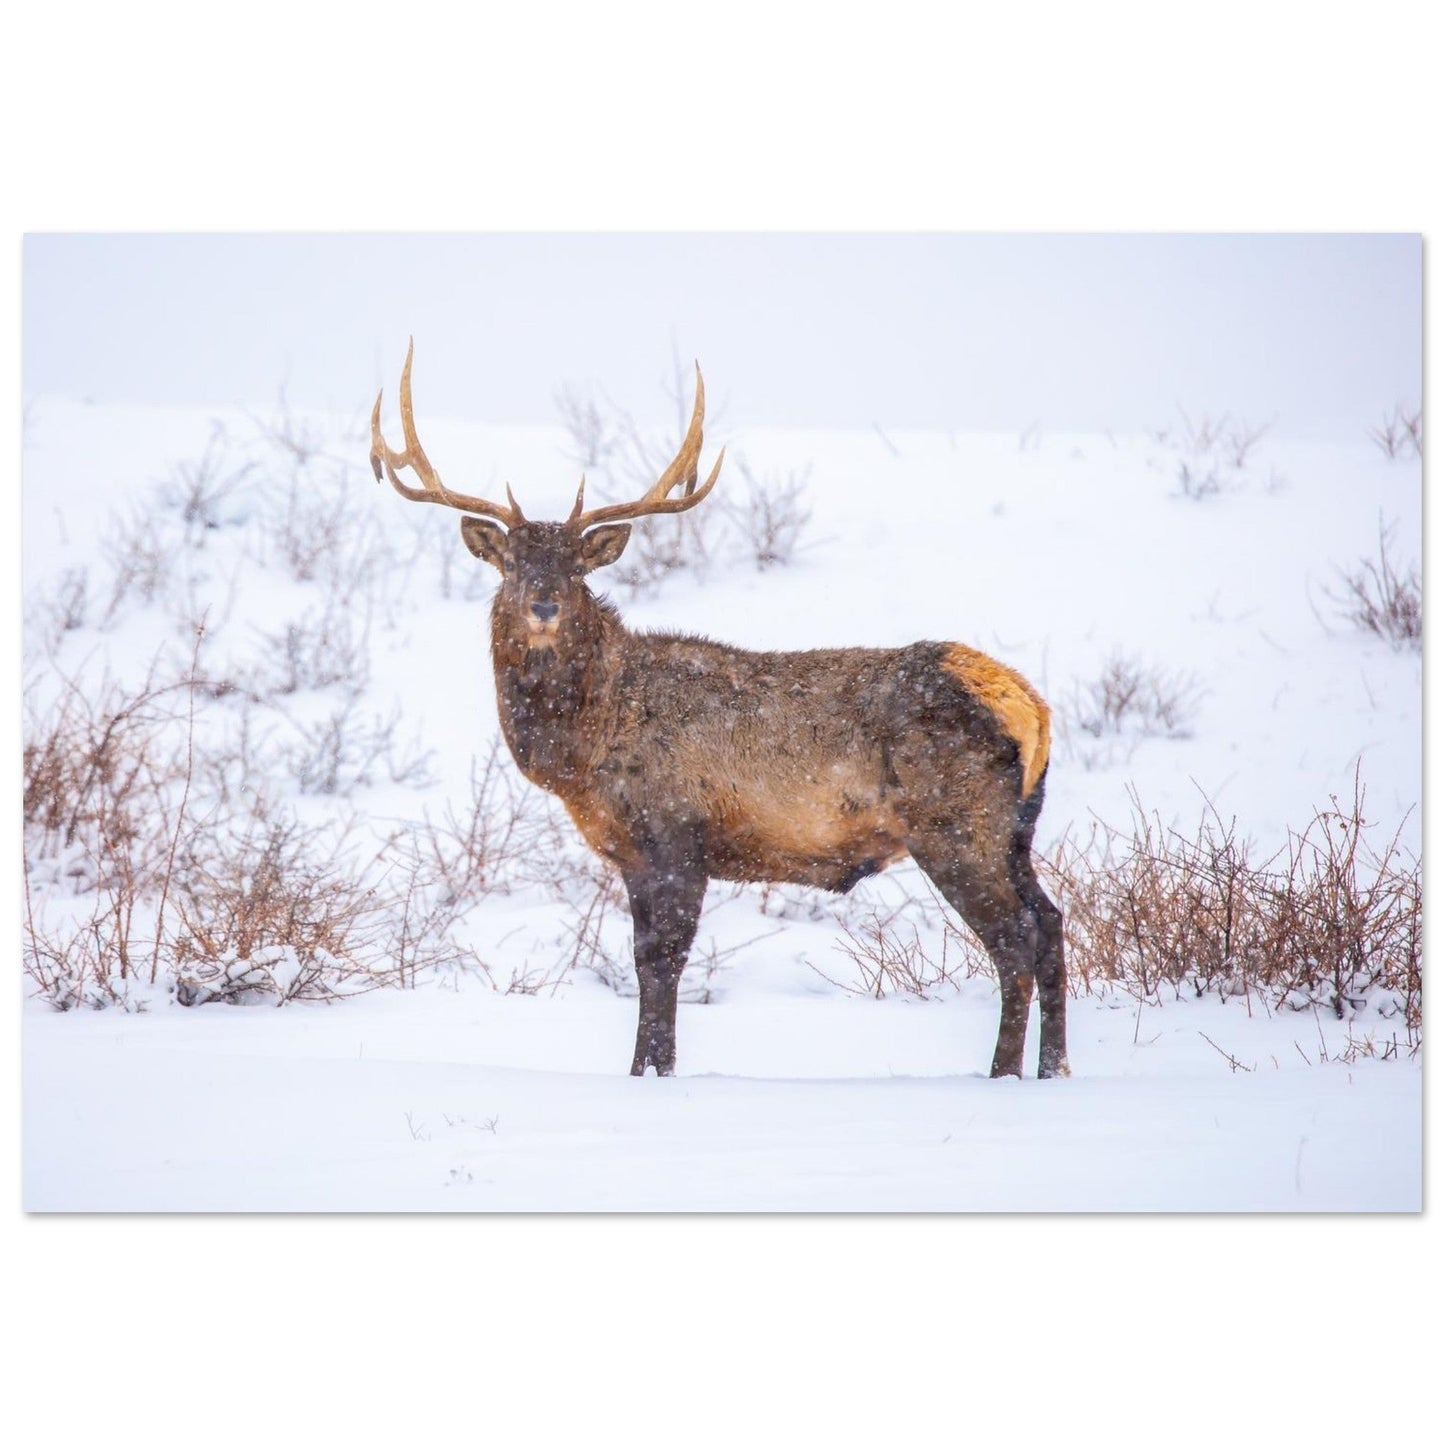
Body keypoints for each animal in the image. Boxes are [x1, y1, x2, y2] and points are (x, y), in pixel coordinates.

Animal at [371, 342, 1069, 1080]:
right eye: (510, 562)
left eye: (575, 566)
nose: (543, 602)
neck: (584, 749)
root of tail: (1029, 705)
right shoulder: (633, 853)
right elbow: (646, 962)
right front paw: (647, 1069)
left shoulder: (678, 830)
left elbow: (663, 962)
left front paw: (652, 1069)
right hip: (1015, 831)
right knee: (1051, 923)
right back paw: (1053, 1068)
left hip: (955, 823)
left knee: (1014, 940)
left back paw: (1001, 1074)